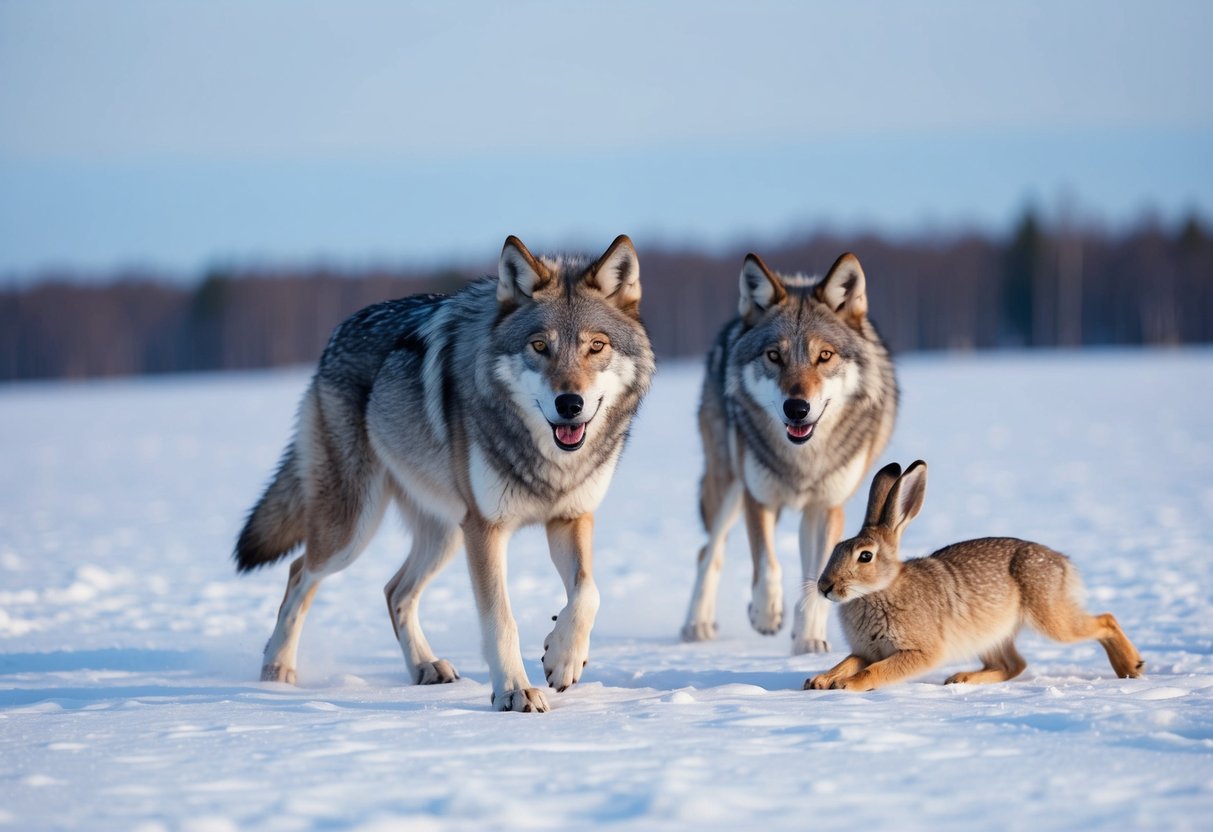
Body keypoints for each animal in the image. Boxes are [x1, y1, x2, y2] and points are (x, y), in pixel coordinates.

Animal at [234, 235, 654, 712]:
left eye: (596, 346)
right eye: (539, 347)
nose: (569, 404)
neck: (547, 459)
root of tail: (335, 336)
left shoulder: (570, 518)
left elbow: (587, 592)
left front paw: (563, 659)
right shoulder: (486, 529)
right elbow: (501, 620)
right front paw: (514, 691)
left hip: (446, 533)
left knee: (393, 590)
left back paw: (424, 667)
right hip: (354, 531)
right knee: (299, 572)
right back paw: (276, 669)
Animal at [681, 251, 897, 654]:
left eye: (824, 356)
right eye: (774, 356)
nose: (797, 408)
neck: (803, 460)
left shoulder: (827, 507)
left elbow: (817, 576)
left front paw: (809, 639)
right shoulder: (757, 497)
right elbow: (767, 565)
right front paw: (765, 616)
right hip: (728, 487)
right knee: (708, 552)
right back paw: (696, 625)